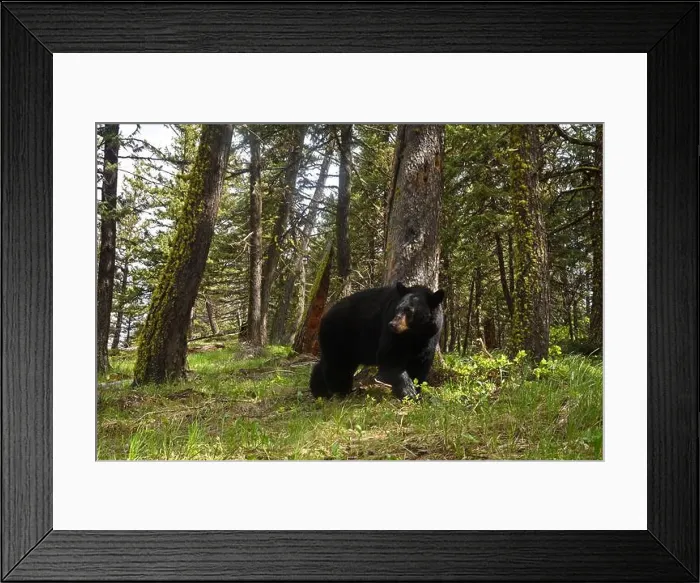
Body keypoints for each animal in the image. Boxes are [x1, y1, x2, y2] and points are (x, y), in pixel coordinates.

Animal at [310, 282, 445, 400]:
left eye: (409, 311)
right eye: (397, 309)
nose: (393, 324)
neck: (414, 334)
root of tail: (325, 315)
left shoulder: (429, 337)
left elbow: (420, 363)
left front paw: (416, 392)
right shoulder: (391, 331)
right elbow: (390, 356)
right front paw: (408, 391)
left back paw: (320, 391)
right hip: (340, 335)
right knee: (338, 364)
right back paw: (340, 391)